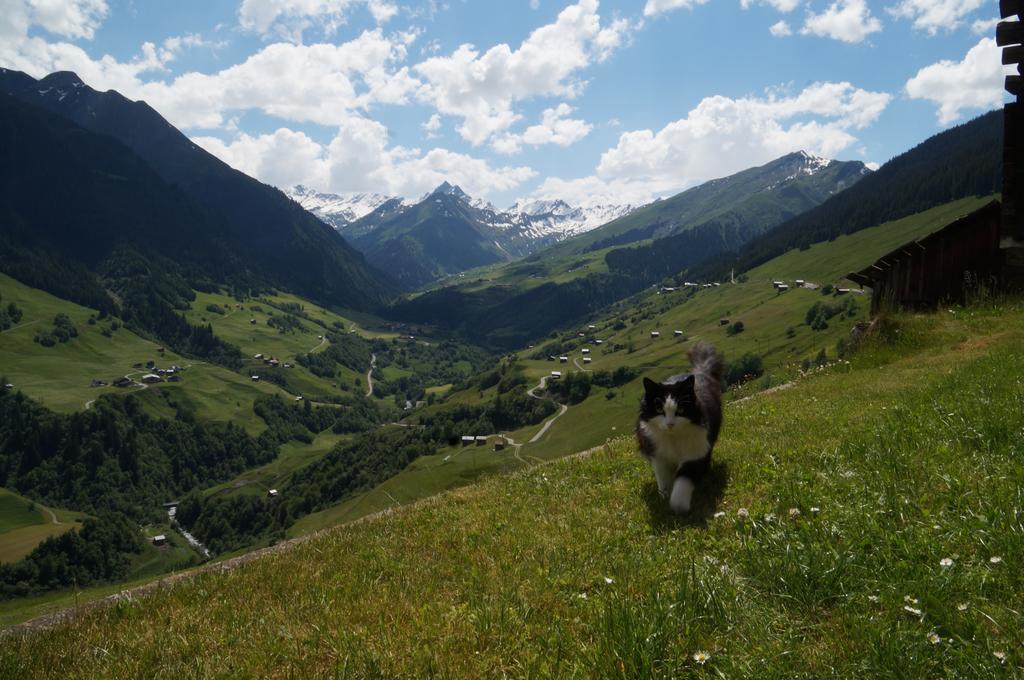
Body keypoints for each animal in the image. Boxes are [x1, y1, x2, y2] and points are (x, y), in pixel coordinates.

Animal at [634, 342, 724, 512]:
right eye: (659, 409)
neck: (673, 438)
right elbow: (663, 480)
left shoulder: (696, 452)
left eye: (681, 410)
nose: (670, 424)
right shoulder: (659, 457)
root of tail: (699, 372)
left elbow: (682, 482)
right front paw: (663, 497)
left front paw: (678, 507)